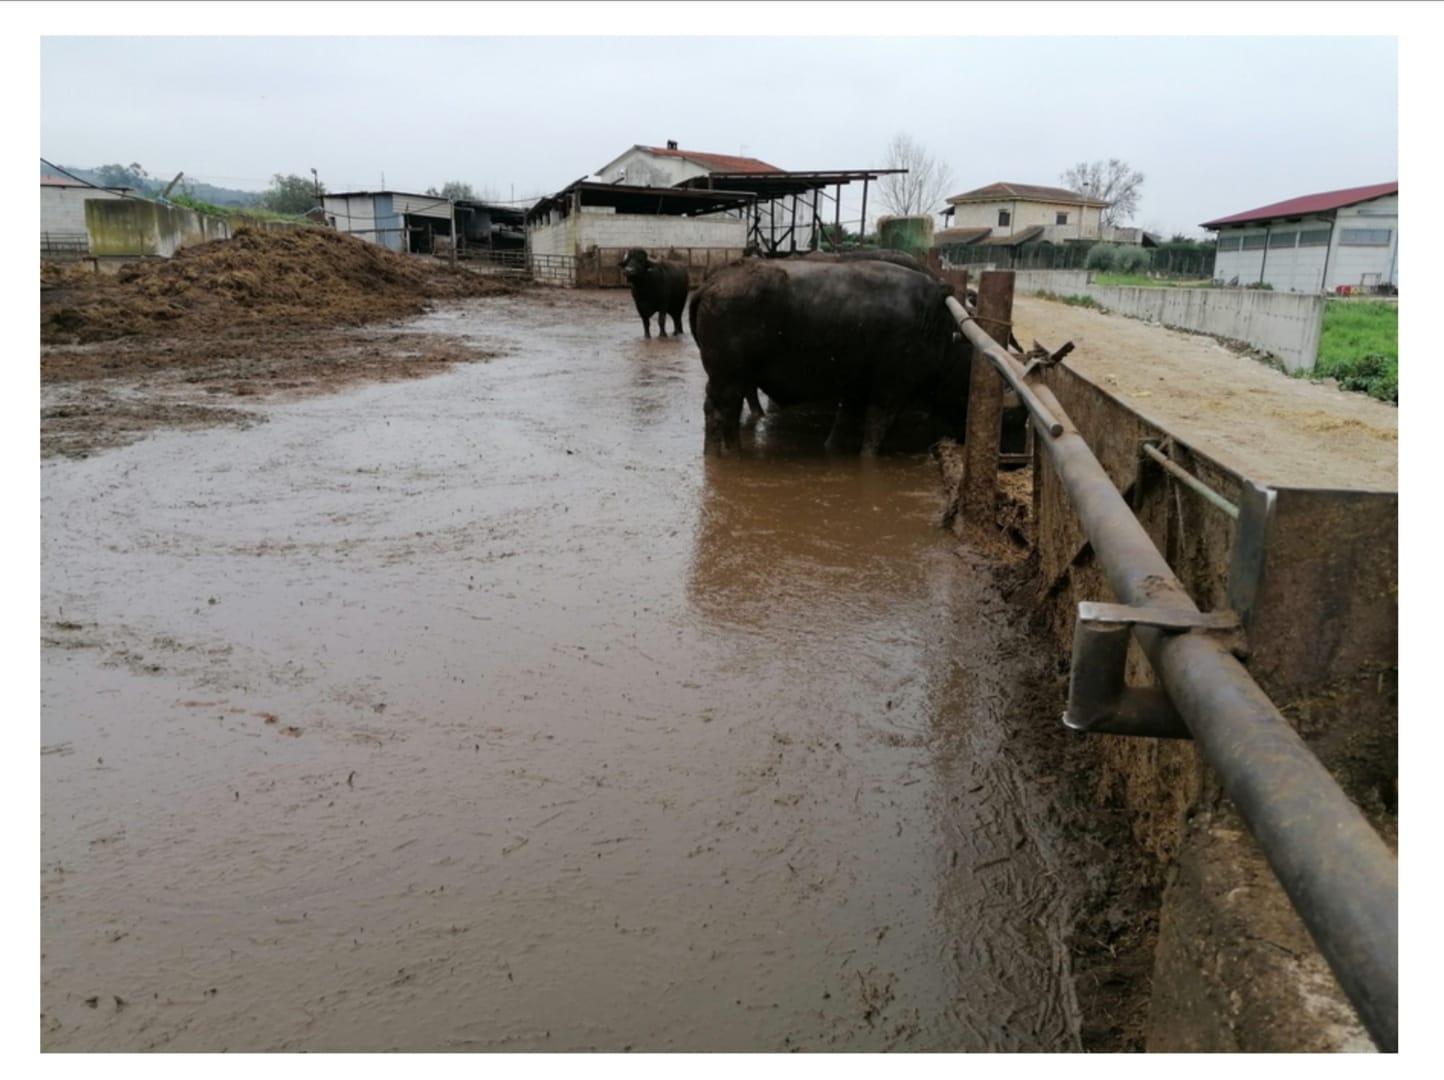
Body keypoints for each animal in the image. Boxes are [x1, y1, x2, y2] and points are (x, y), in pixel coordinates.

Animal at [684, 257, 970, 456]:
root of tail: (711, 283)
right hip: (729, 377)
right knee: (724, 413)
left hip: (727, 378)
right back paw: (734, 455)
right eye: (966, 394)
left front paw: (831, 449)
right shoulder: (892, 390)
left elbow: (843, 422)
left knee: (716, 410)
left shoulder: (856, 388)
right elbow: (874, 432)